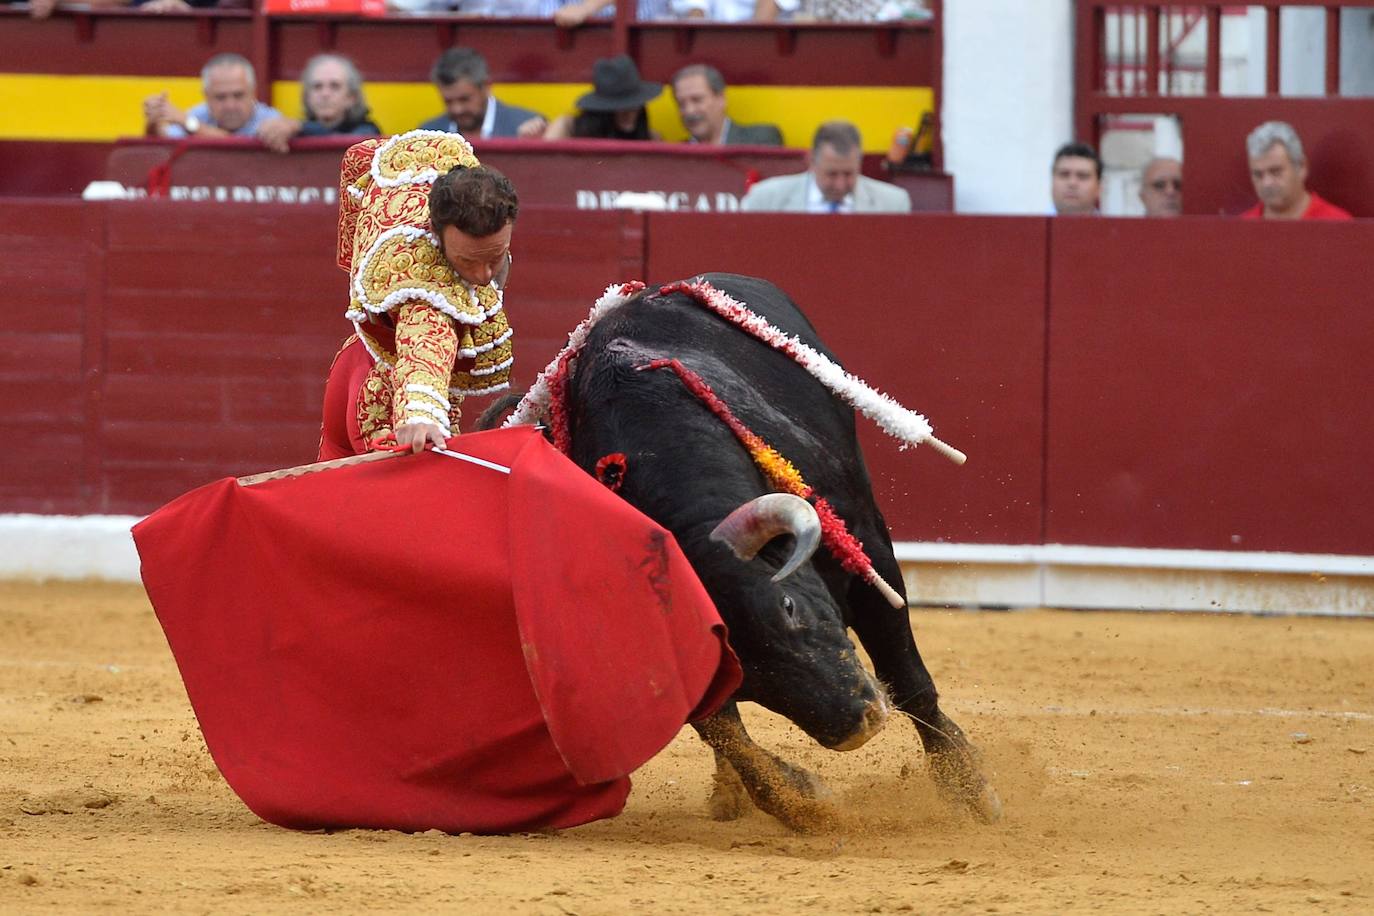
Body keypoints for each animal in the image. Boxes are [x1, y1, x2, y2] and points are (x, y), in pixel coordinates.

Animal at [535, 274, 1000, 829]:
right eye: (744, 675)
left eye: (790, 607)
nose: (859, 725)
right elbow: (723, 730)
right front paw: (800, 800)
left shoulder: (868, 549)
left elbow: (906, 673)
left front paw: (969, 787)